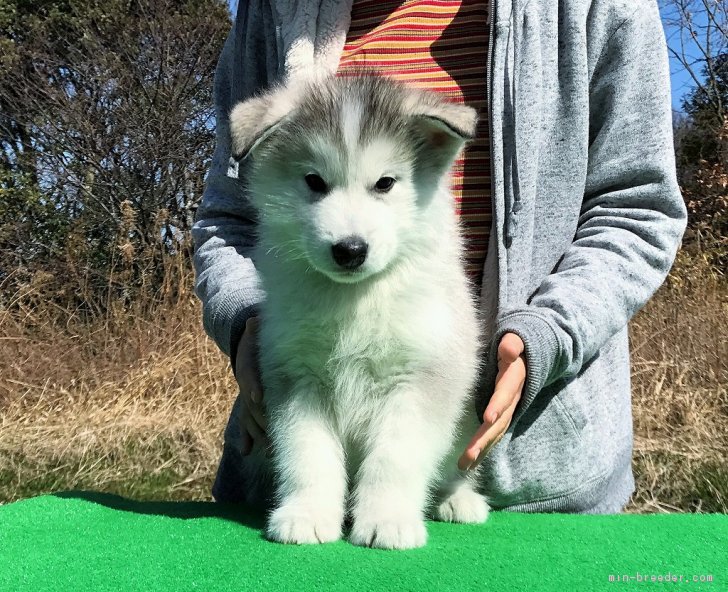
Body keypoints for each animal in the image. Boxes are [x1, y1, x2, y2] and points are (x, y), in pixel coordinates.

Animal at [228, 74, 490, 552]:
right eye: (314, 181)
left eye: (385, 183)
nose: (349, 249)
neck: (354, 301)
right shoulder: (297, 379)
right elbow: (307, 453)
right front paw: (307, 514)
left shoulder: (417, 378)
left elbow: (394, 459)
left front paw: (387, 520)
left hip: (465, 419)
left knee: (453, 470)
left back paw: (457, 500)